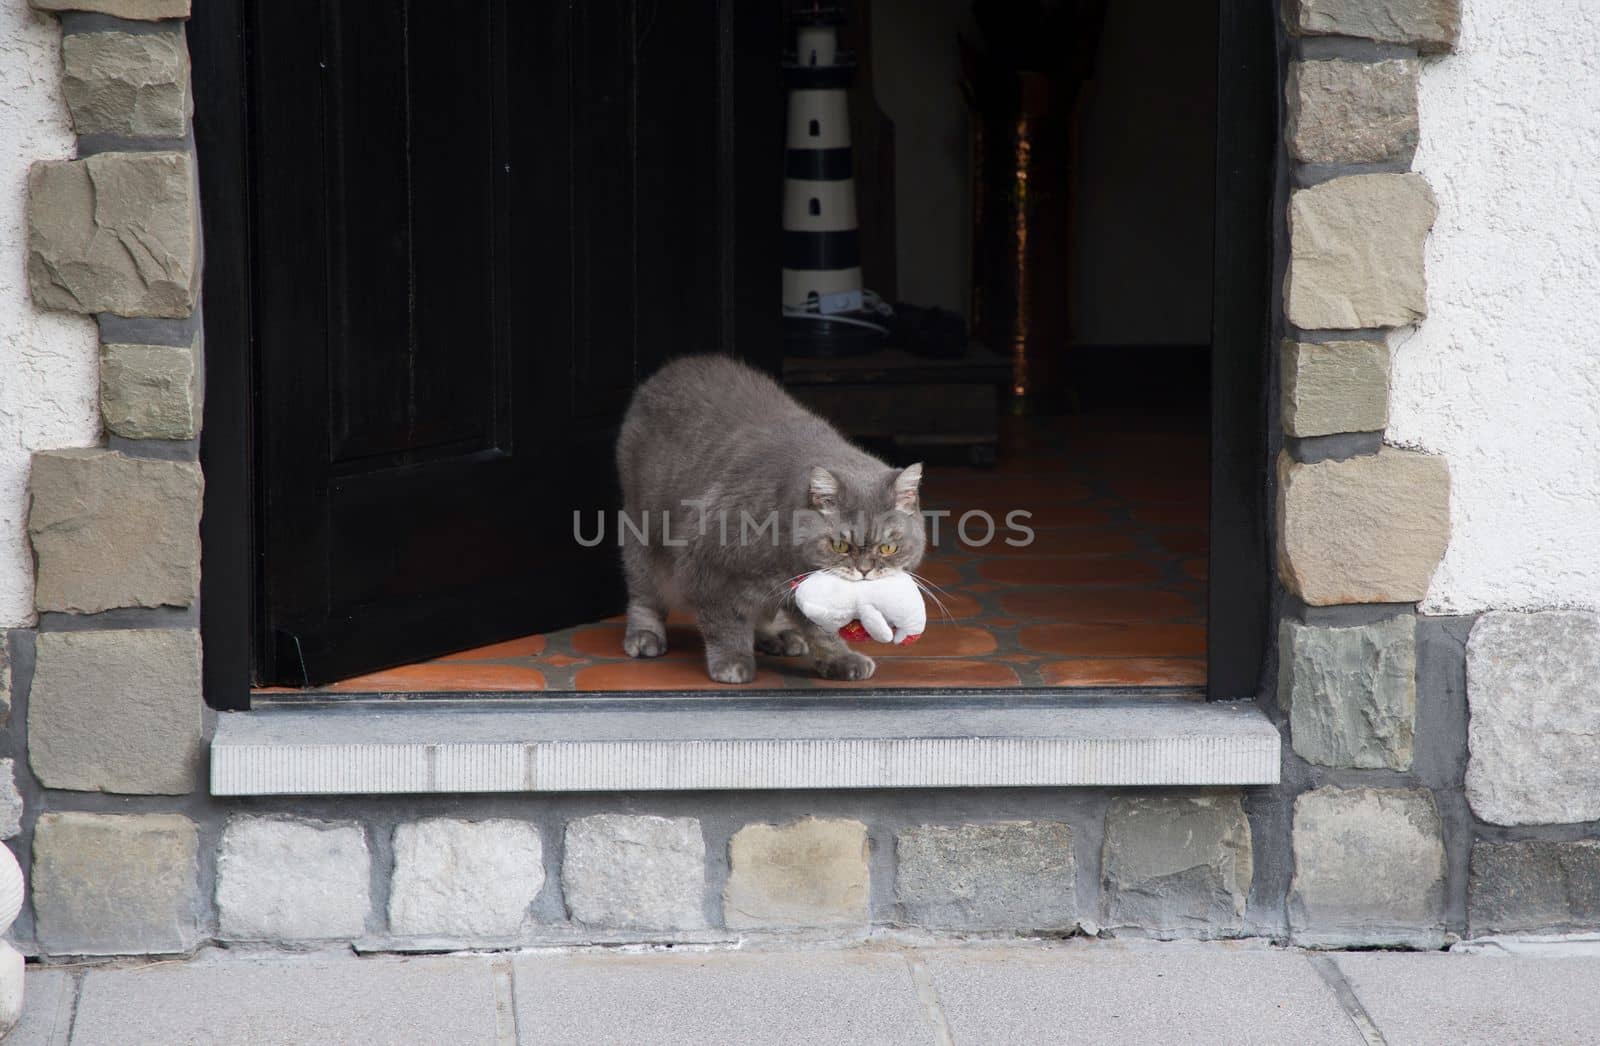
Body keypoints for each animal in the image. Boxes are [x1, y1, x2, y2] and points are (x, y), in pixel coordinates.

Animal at [617, 356, 934, 684]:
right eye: (840, 546)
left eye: (888, 548)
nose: (865, 570)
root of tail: (678, 365)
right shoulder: (706, 568)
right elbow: (725, 624)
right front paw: (732, 662)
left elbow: (821, 632)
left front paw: (839, 659)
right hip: (643, 539)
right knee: (645, 595)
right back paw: (645, 635)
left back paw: (779, 636)